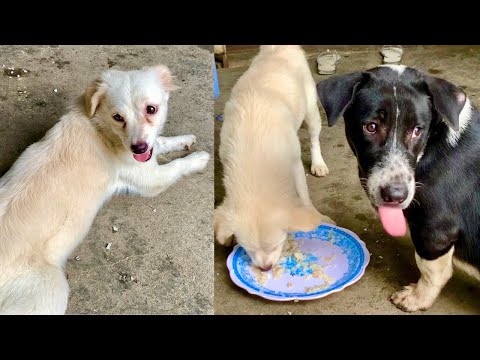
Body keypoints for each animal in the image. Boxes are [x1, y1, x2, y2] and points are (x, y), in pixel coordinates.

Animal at [0, 65, 210, 316]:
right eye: (118, 117)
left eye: (151, 109)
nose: (138, 148)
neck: (101, 127)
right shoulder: (150, 178)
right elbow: (178, 164)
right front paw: (199, 159)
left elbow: (160, 141)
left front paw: (185, 140)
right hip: (50, 289)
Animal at [215, 44, 334, 270]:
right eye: (248, 250)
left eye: (276, 245)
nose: (265, 268)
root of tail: (279, 48)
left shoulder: (294, 164)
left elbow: (304, 197)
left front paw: (317, 216)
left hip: (311, 110)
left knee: (314, 137)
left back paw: (319, 164)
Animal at [316, 65, 478, 312]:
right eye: (371, 127)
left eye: (417, 130)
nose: (395, 195)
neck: (432, 147)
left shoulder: (435, 229)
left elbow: (431, 270)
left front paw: (416, 299)